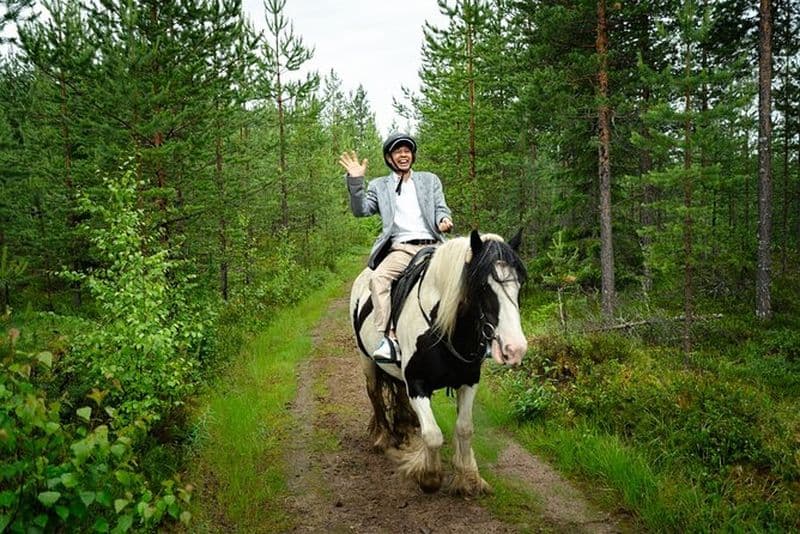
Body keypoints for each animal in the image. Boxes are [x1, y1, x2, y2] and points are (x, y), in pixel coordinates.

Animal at [349, 229, 528, 496]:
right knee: (375, 395)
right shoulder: (417, 383)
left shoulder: (469, 380)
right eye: (483, 286)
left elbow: (464, 428)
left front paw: (468, 478)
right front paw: (429, 477)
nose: (515, 348)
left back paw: (405, 430)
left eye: (518, 284)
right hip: (367, 361)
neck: (445, 329)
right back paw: (384, 439)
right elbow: (433, 435)